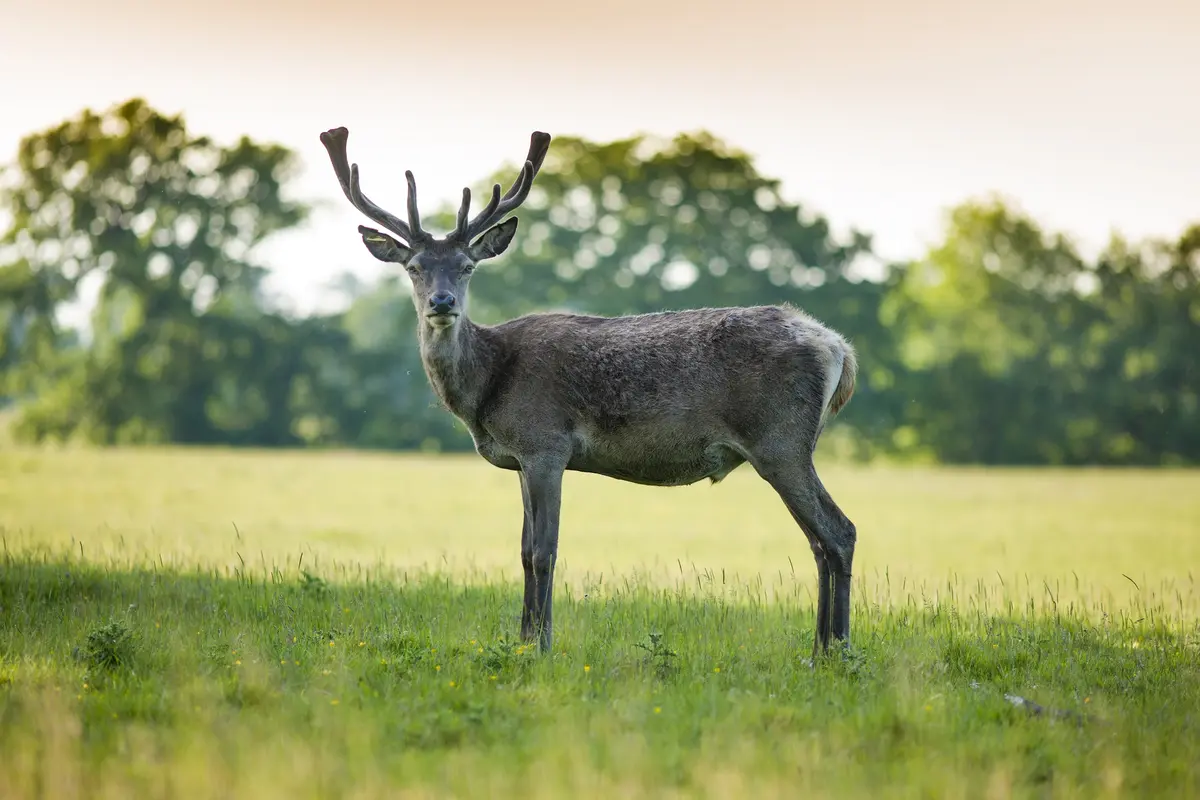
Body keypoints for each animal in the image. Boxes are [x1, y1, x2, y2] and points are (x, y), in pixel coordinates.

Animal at [318, 126, 859, 659]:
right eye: (413, 267)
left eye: (468, 266)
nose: (442, 302)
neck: (485, 392)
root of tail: (838, 347)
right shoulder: (520, 459)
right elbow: (522, 550)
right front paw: (522, 640)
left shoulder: (545, 444)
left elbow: (544, 550)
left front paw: (542, 646)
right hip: (789, 445)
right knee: (819, 541)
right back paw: (820, 649)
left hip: (780, 439)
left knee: (839, 532)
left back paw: (836, 651)